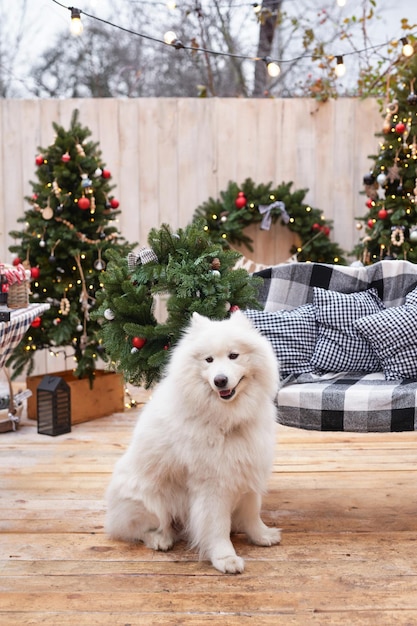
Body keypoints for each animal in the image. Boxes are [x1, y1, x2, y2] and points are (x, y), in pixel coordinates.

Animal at [105, 310, 280, 572]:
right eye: (208, 360)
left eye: (234, 355)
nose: (220, 380)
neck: (227, 419)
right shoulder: (212, 483)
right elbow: (217, 526)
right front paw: (225, 558)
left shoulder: (247, 467)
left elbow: (252, 511)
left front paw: (261, 535)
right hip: (150, 501)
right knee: (138, 529)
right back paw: (160, 538)